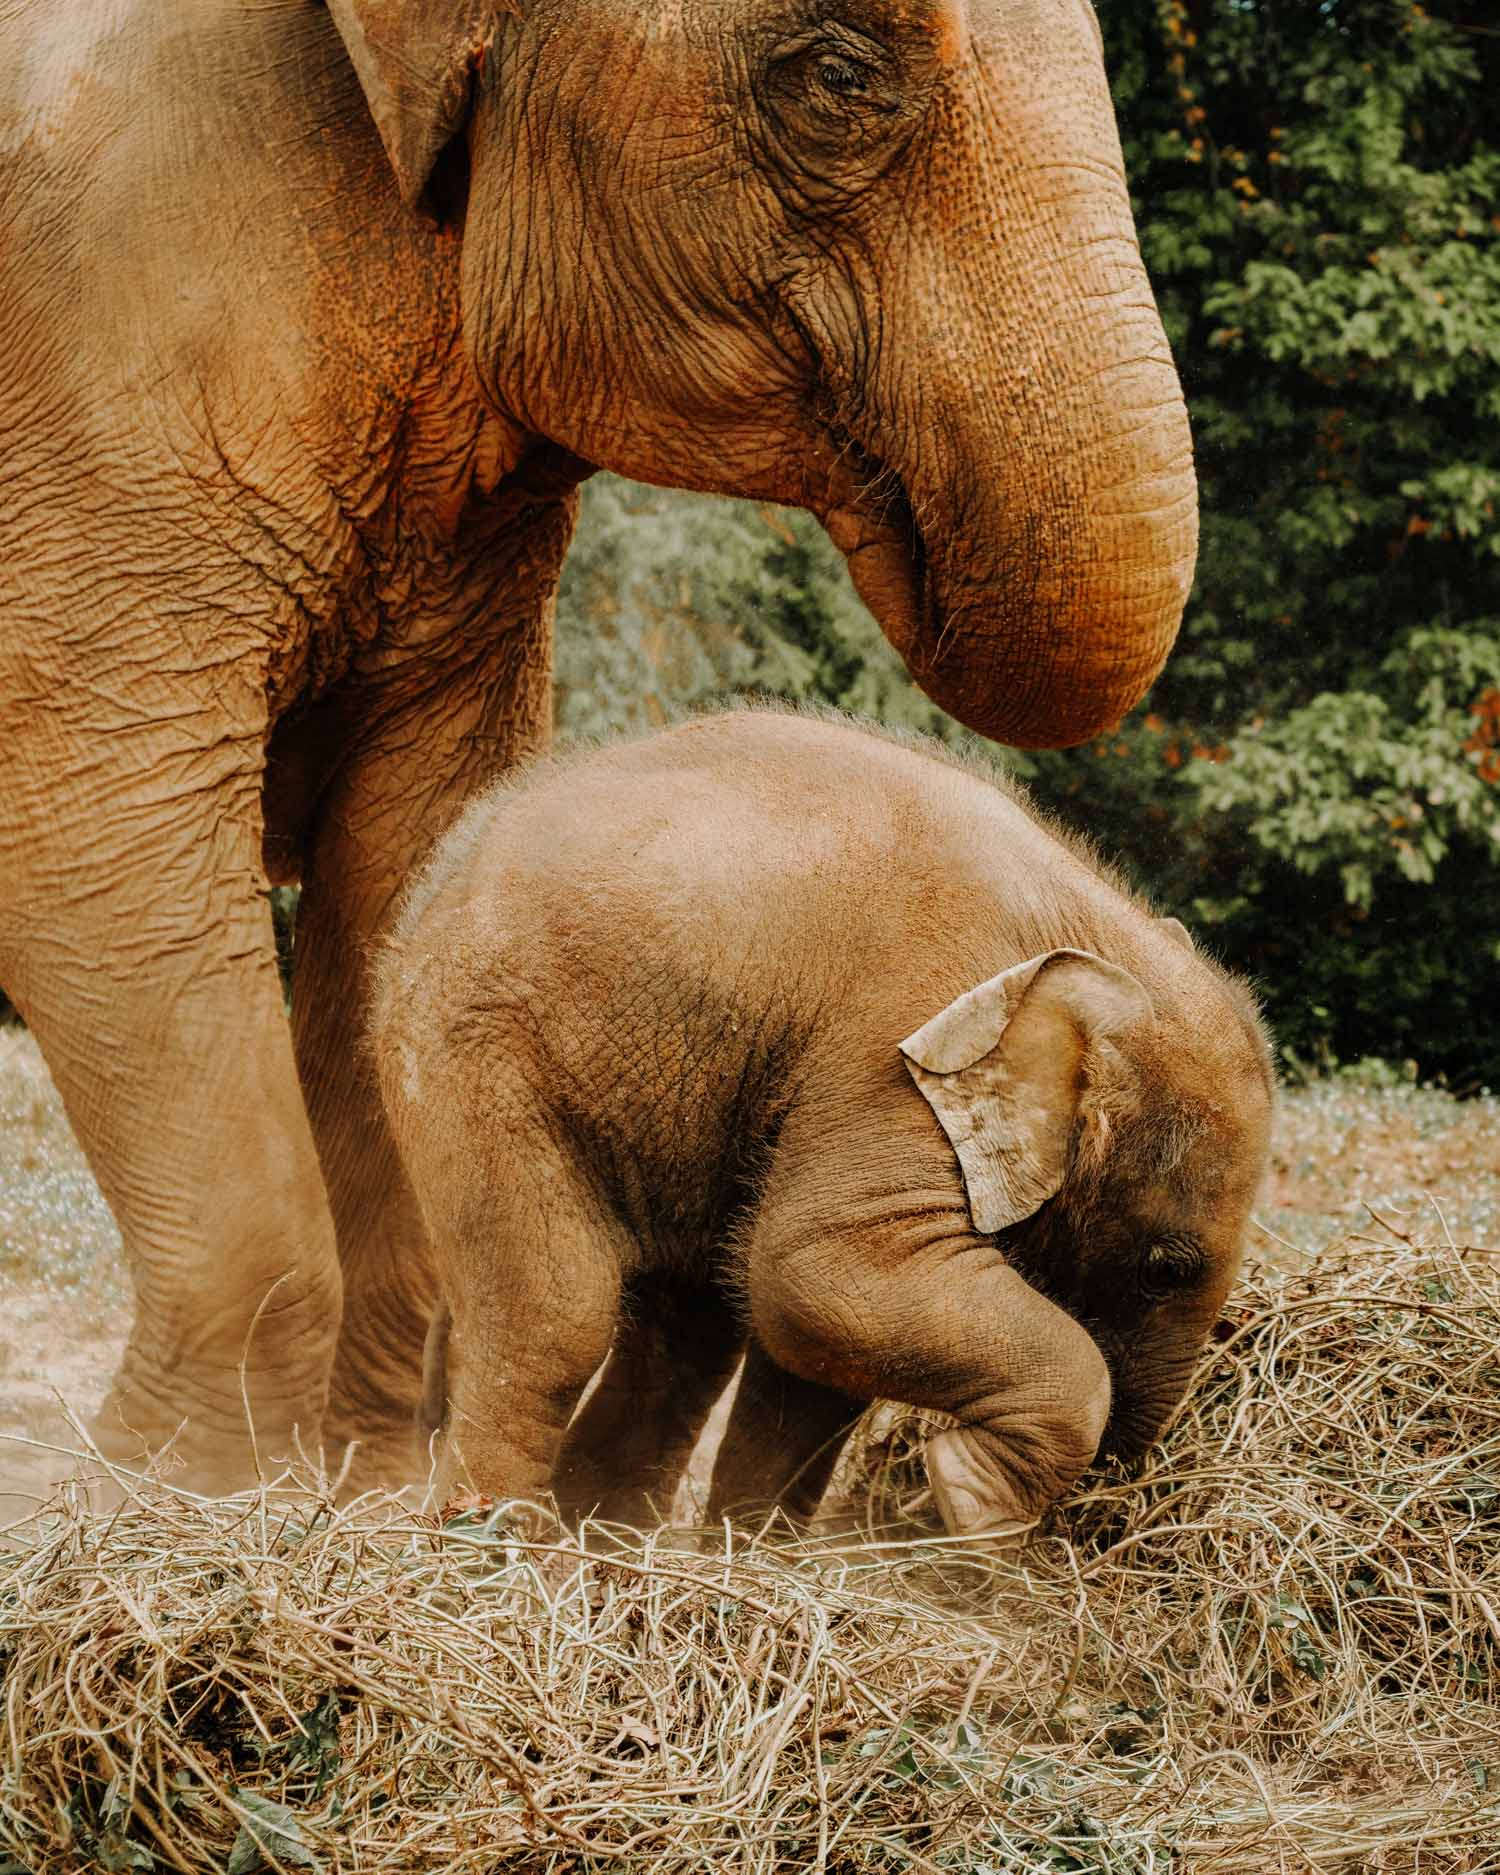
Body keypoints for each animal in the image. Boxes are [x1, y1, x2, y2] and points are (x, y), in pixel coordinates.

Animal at [0, 0, 1198, 1497]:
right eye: (840, 76)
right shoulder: (102, 343)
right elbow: (97, 826)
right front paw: (181, 1501)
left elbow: (410, 846)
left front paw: (358, 1494)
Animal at [374, 709, 1272, 1532]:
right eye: (1165, 1268)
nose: (1098, 1516)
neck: (1097, 935)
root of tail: (427, 894)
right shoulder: (891, 1049)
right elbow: (815, 1269)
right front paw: (967, 1496)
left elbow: (816, 1343)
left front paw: (760, 1550)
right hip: (478, 1048)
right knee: (557, 1314)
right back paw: (505, 1553)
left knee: (687, 1334)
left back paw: (605, 1549)